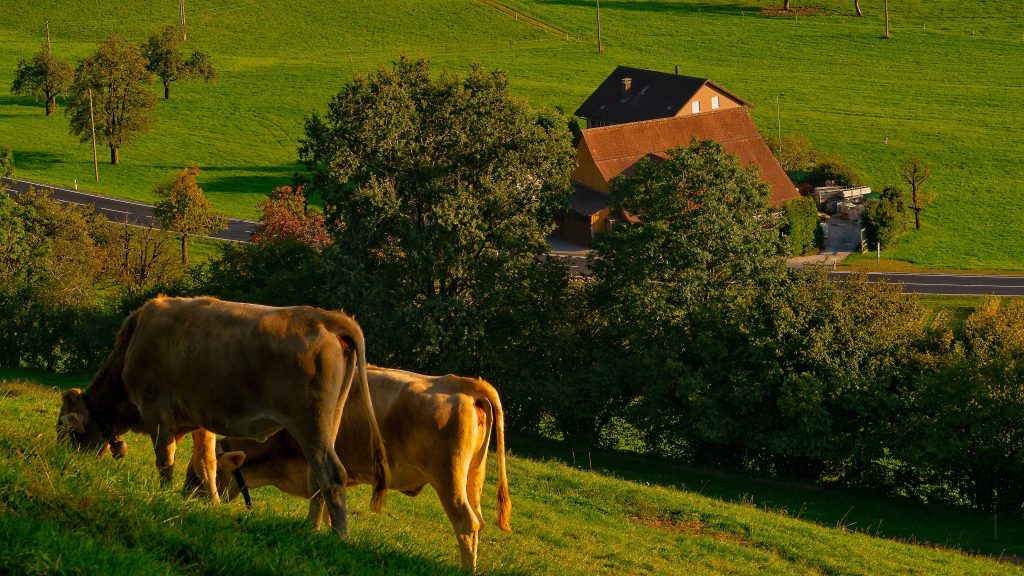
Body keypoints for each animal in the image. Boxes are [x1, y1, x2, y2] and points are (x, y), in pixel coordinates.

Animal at [56, 295, 390, 538]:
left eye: (64, 429)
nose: (65, 463)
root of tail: (324, 317)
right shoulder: (200, 419)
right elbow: (207, 463)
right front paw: (211, 504)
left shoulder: (157, 412)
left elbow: (165, 461)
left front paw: (160, 495)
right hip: (328, 421)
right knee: (316, 477)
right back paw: (311, 528)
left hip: (309, 422)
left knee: (331, 475)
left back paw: (339, 536)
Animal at [186, 367, 511, 572]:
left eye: (200, 472)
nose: (185, 497)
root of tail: (458, 382)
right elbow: (331, 503)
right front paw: (333, 536)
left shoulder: (313, 459)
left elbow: (318, 496)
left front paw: (310, 530)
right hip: (473, 477)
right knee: (478, 521)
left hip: (448, 475)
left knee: (466, 522)